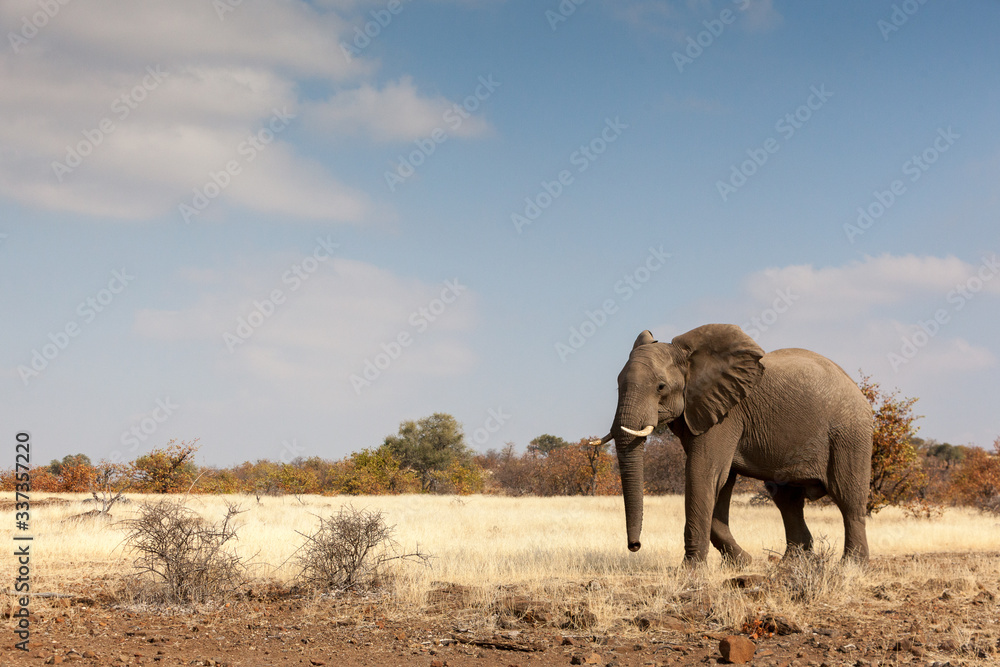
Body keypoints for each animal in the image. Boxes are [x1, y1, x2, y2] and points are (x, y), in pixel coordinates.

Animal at [595, 324, 872, 564]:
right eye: (617, 385)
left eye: (661, 387)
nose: (635, 546)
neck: (690, 358)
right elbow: (720, 481)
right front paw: (744, 563)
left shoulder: (726, 414)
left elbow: (703, 474)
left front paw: (691, 571)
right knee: (788, 500)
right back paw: (791, 564)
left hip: (850, 434)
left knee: (848, 498)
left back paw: (851, 566)